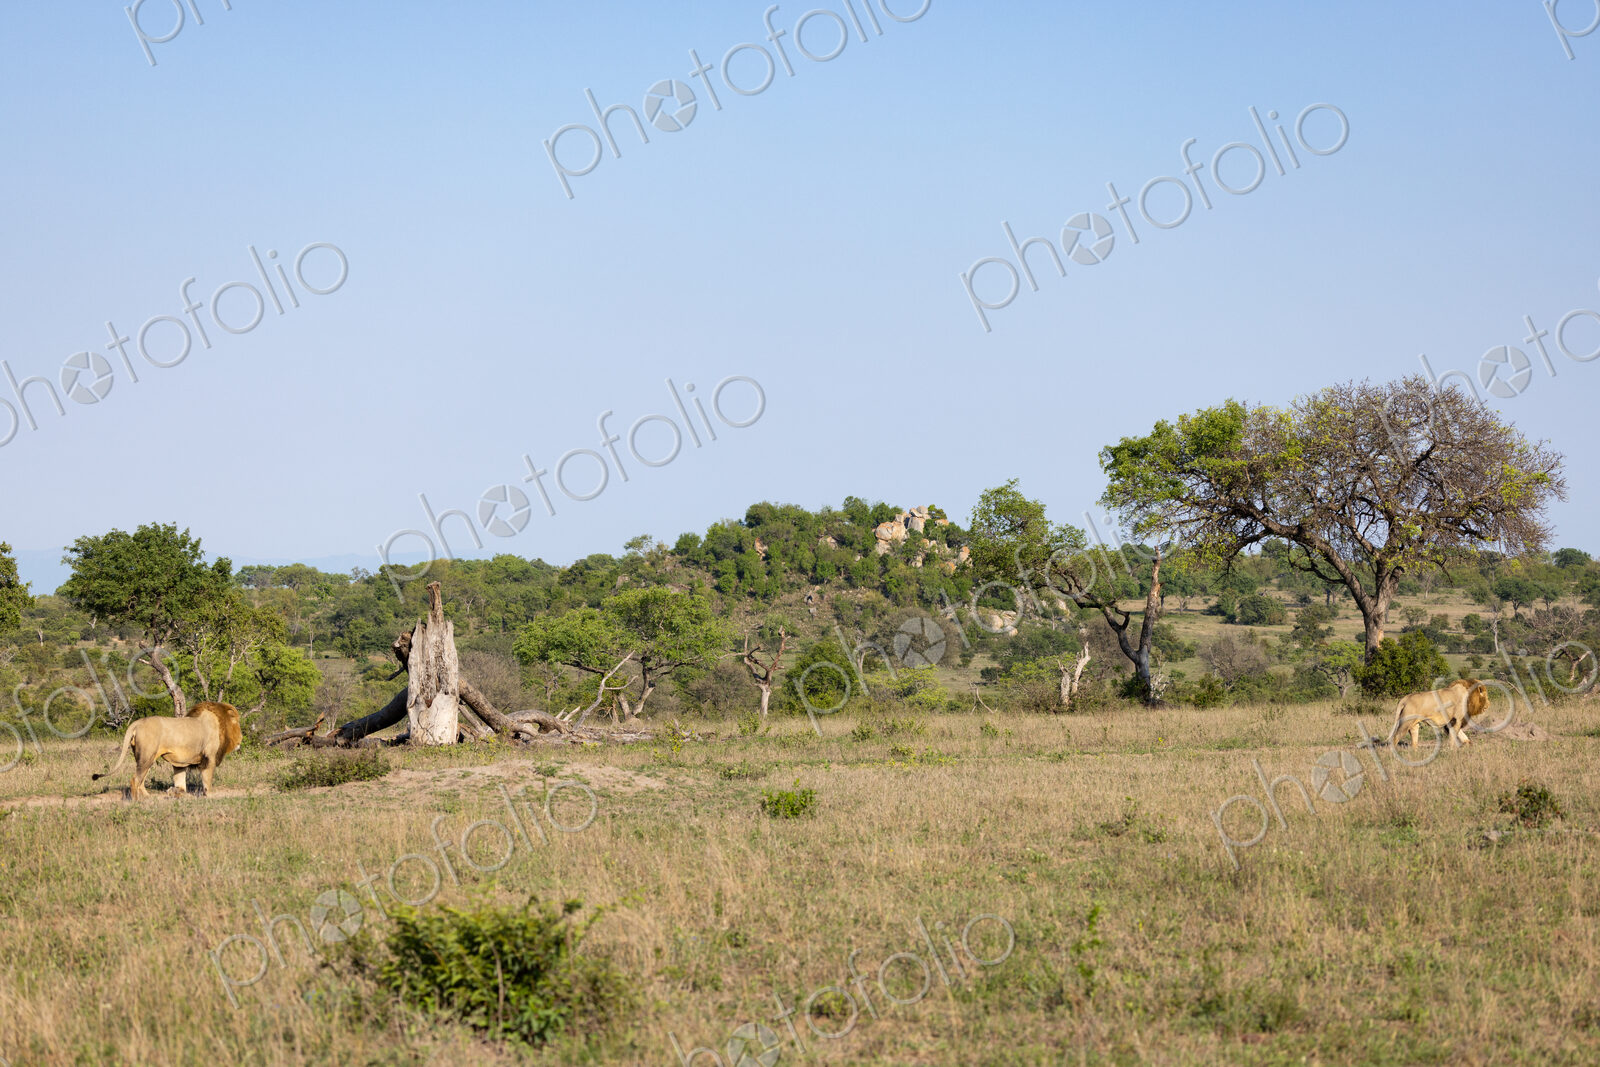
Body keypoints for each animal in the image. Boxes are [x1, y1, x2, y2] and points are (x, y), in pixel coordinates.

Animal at [92, 701, 242, 799]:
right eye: (237, 723)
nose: (241, 739)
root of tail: (137, 723)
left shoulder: (180, 763)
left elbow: (180, 781)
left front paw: (177, 792)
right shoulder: (209, 757)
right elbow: (207, 779)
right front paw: (209, 795)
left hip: (146, 758)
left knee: (140, 780)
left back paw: (148, 797)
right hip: (147, 756)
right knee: (135, 780)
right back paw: (137, 801)